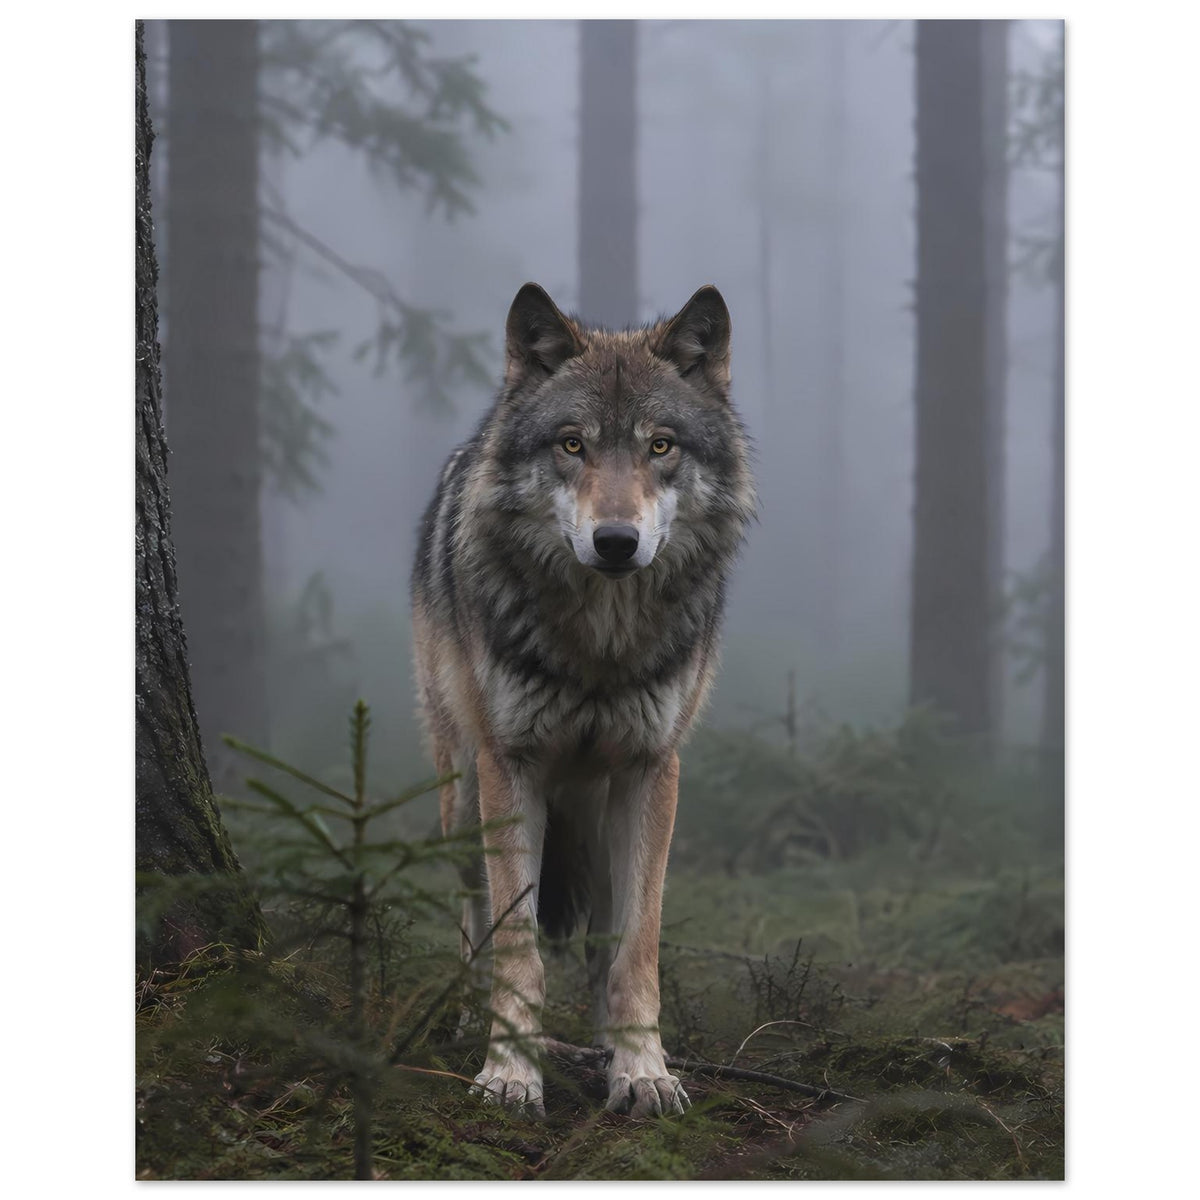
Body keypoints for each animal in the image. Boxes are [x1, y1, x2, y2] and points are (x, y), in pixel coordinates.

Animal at [411, 282, 754, 1118]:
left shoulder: (651, 770)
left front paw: (643, 1070)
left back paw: (605, 1046)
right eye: (572, 445)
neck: (601, 645)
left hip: (598, 816)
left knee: (602, 937)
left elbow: (637, 949)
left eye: (661, 446)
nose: (616, 542)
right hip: (462, 797)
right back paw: (463, 1019)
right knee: (472, 918)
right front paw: (509, 1073)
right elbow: (518, 947)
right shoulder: (511, 766)